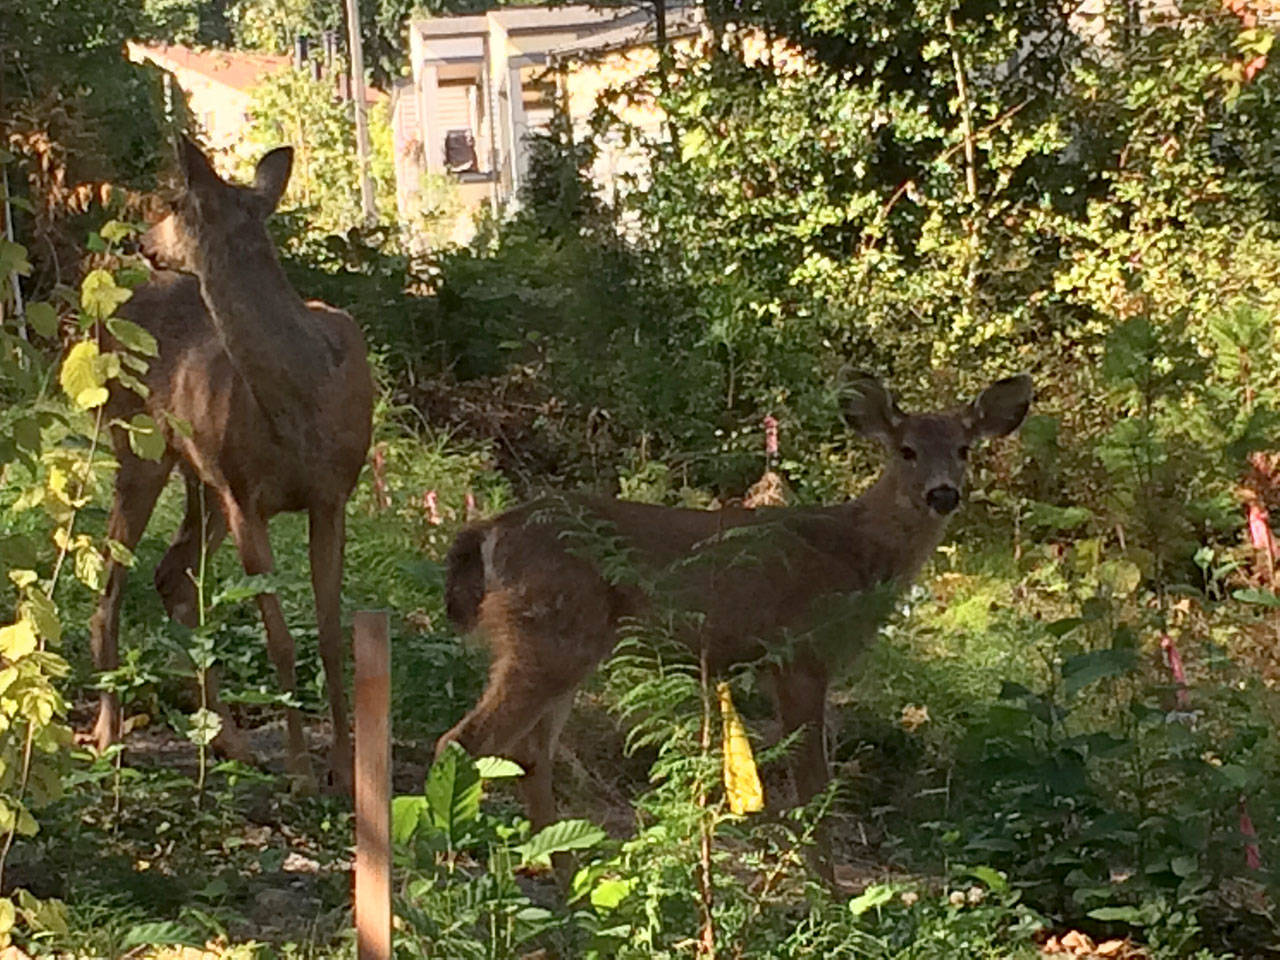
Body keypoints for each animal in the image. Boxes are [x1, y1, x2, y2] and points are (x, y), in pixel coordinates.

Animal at [86, 136, 371, 798]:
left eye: (173, 203)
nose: (144, 241)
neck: (302, 399)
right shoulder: (248, 499)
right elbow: (280, 638)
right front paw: (300, 769)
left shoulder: (332, 497)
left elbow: (328, 634)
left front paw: (345, 767)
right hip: (139, 445)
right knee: (112, 584)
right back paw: (110, 734)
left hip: (203, 479)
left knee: (171, 575)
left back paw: (229, 742)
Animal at [435, 371, 1034, 875]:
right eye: (906, 450)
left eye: (963, 449)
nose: (943, 493)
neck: (856, 555)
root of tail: (489, 529)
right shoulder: (798, 653)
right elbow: (812, 784)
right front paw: (829, 894)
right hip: (550, 632)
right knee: (464, 741)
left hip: (566, 643)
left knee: (530, 754)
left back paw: (569, 881)